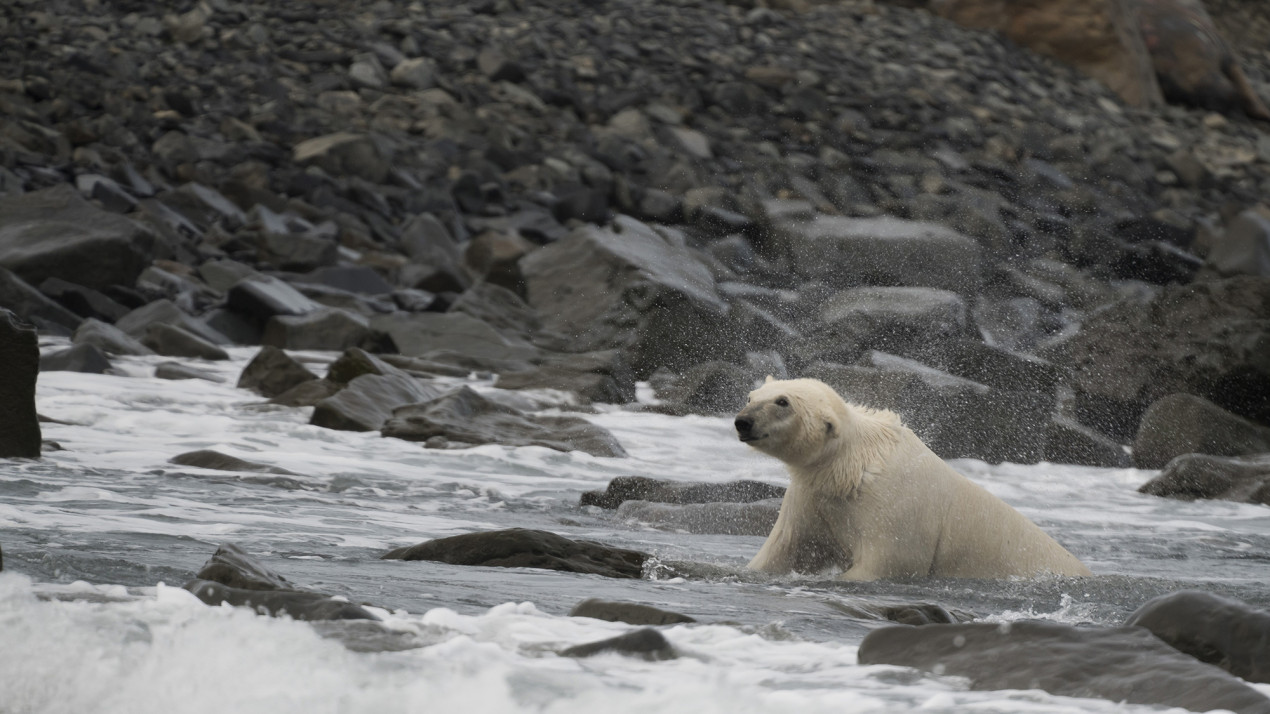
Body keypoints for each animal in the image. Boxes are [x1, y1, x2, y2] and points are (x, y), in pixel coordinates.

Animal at [736, 376, 1092, 574]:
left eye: (783, 402)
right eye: (751, 396)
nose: (743, 422)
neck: (855, 464)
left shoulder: (897, 509)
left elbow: (888, 561)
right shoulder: (813, 498)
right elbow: (784, 550)